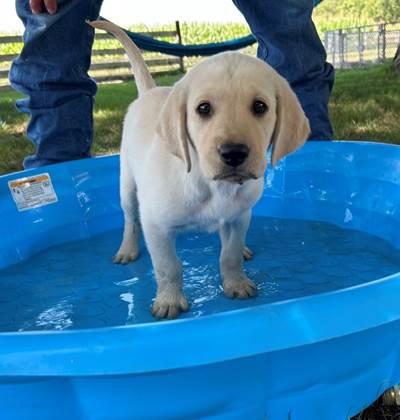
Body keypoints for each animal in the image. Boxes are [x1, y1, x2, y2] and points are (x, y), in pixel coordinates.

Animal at [89, 20, 310, 318]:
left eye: (260, 106)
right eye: (203, 108)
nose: (233, 153)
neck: (214, 186)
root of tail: (150, 92)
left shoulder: (240, 217)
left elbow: (229, 254)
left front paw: (236, 283)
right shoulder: (156, 225)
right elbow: (168, 267)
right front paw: (169, 300)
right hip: (127, 184)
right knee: (129, 219)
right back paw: (127, 249)